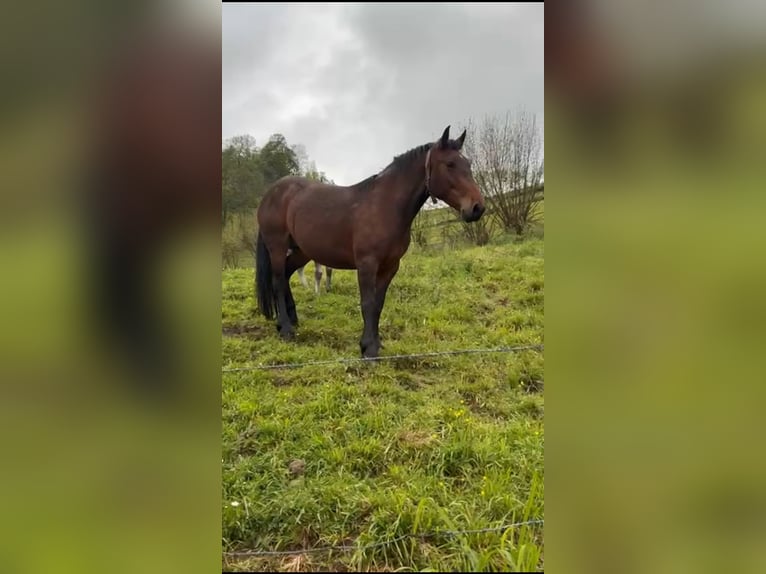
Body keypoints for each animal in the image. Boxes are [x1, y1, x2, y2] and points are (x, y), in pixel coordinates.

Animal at [256, 126, 486, 360]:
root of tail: (271, 193)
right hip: (277, 246)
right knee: (277, 280)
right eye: (450, 164)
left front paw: (375, 344)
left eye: (468, 164)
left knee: (285, 275)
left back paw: (291, 320)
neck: (385, 206)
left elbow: (378, 304)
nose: (477, 208)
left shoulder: (390, 266)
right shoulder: (367, 264)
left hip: (301, 251)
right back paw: (285, 329)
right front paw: (368, 348)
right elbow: (367, 303)